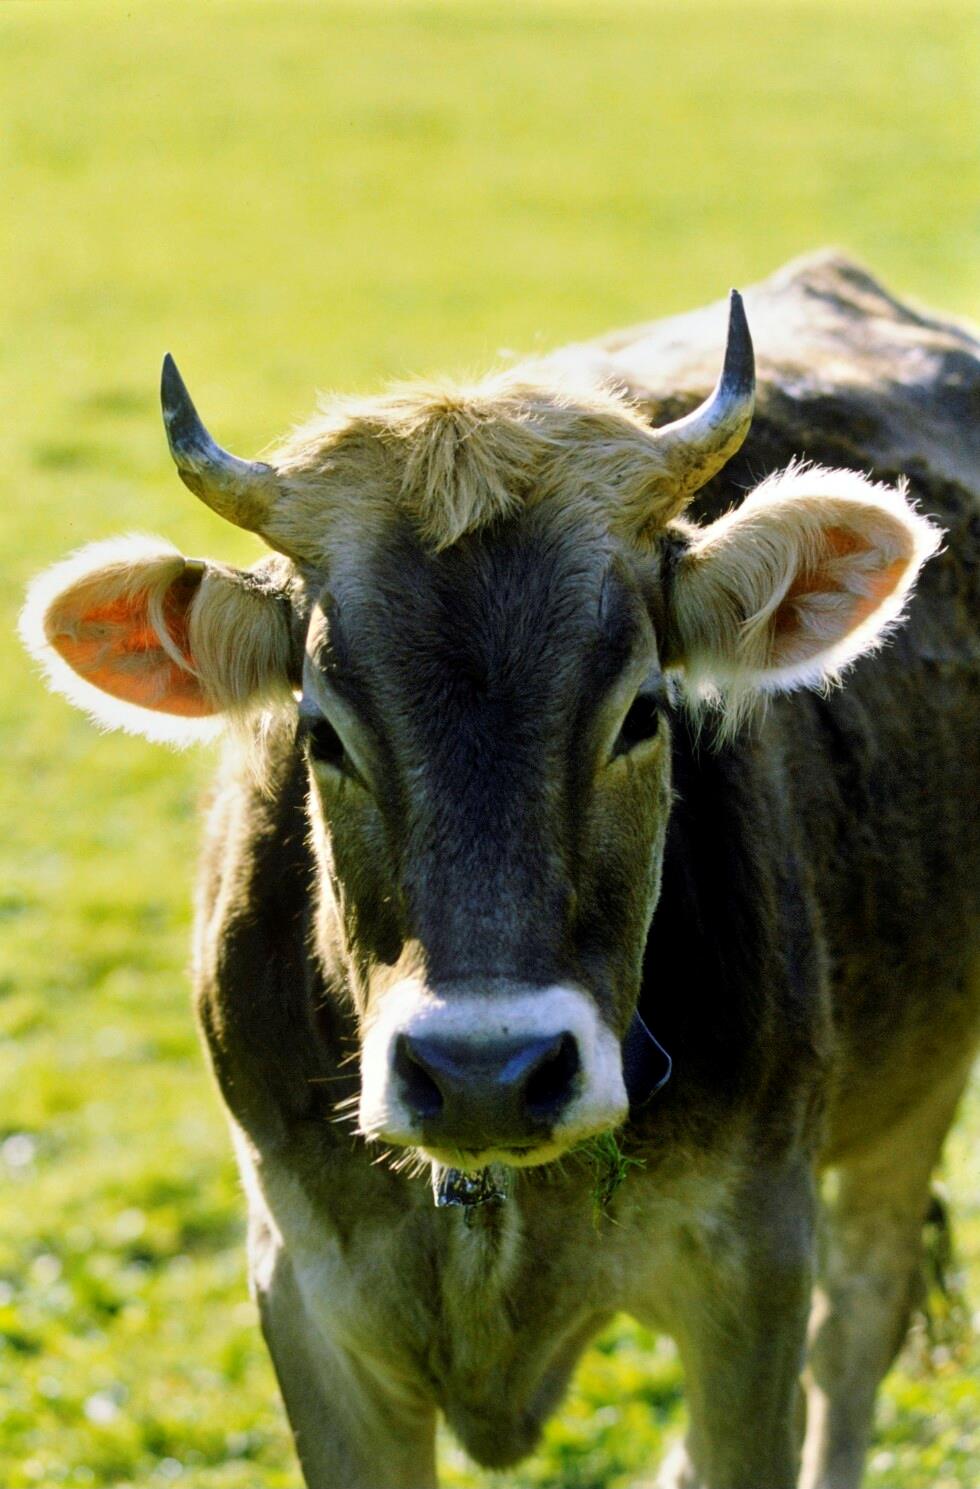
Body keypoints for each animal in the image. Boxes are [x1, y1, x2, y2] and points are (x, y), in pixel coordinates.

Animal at [20, 250, 980, 1489]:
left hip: (913, 1089)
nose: (485, 1072)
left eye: (641, 712)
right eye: (320, 732)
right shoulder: (303, 1292)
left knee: (857, 1323)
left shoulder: (750, 1270)